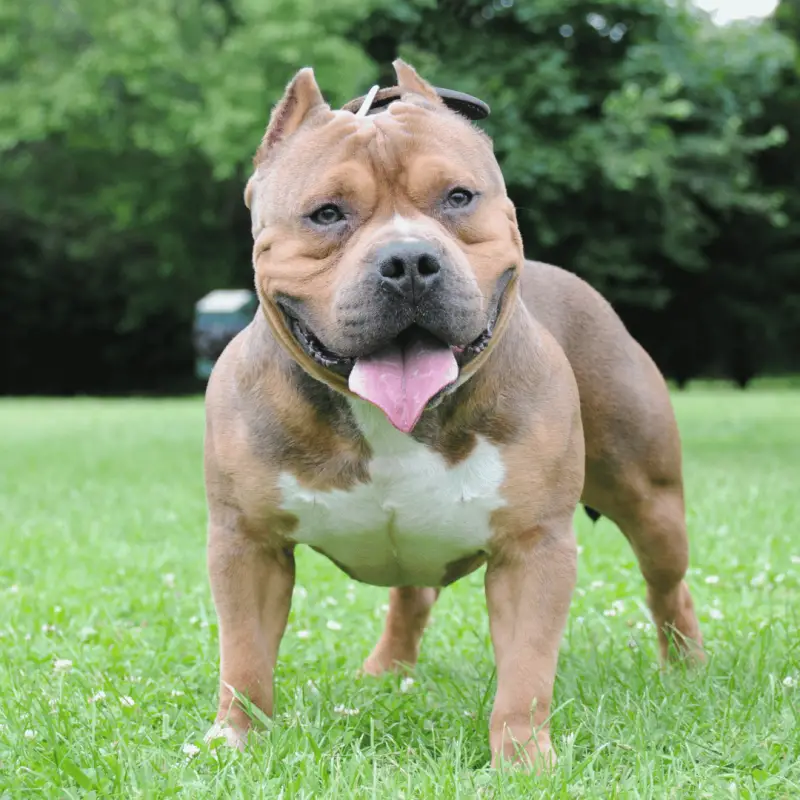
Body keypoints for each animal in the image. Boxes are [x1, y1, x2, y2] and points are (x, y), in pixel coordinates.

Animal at [203, 62, 704, 768]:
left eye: (459, 198)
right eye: (326, 214)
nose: (409, 260)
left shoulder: (532, 548)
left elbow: (525, 672)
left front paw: (522, 759)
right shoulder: (248, 544)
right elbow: (244, 658)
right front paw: (236, 739)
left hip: (651, 500)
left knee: (667, 584)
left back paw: (688, 666)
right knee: (411, 594)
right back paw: (386, 671)